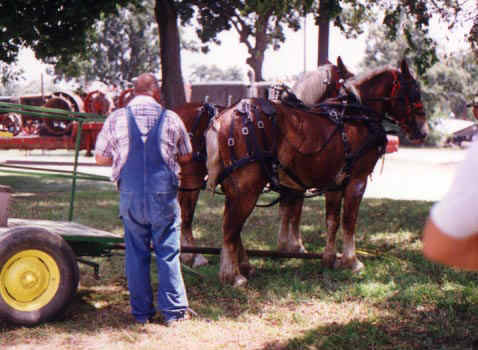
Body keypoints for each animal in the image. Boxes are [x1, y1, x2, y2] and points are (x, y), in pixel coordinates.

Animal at [207, 58, 428, 286]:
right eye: (414, 92)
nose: (422, 131)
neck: (355, 117)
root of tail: (224, 117)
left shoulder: (334, 183)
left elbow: (332, 220)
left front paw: (329, 258)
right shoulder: (357, 180)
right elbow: (348, 221)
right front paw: (352, 261)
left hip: (235, 188)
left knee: (231, 226)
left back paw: (241, 267)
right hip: (248, 188)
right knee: (230, 228)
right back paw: (232, 276)